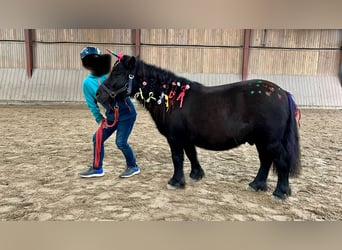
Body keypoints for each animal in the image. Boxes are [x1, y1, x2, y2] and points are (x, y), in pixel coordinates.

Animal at [97, 55, 300, 201]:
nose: (99, 95)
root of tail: (282, 93)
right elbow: (191, 154)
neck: (171, 97)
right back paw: (256, 185)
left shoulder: (175, 138)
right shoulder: (186, 138)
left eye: (117, 73)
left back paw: (280, 192)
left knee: (280, 161)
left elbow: (178, 158)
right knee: (265, 160)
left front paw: (176, 181)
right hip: (261, 141)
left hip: (271, 141)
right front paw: (196, 174)